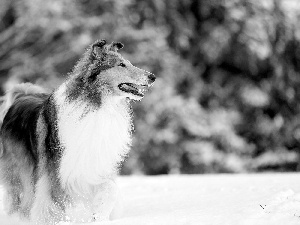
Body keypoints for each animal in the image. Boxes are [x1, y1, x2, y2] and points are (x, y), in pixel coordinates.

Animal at [0, 39, 156, 224]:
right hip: (21, 170)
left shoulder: (93, 166)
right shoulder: (58, 170)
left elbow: (109, 189)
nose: (152, 77)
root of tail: (21, 97)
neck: (98, 104)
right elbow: (55, 202)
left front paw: (99, 216)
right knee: (19, 198)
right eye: (121, 64)